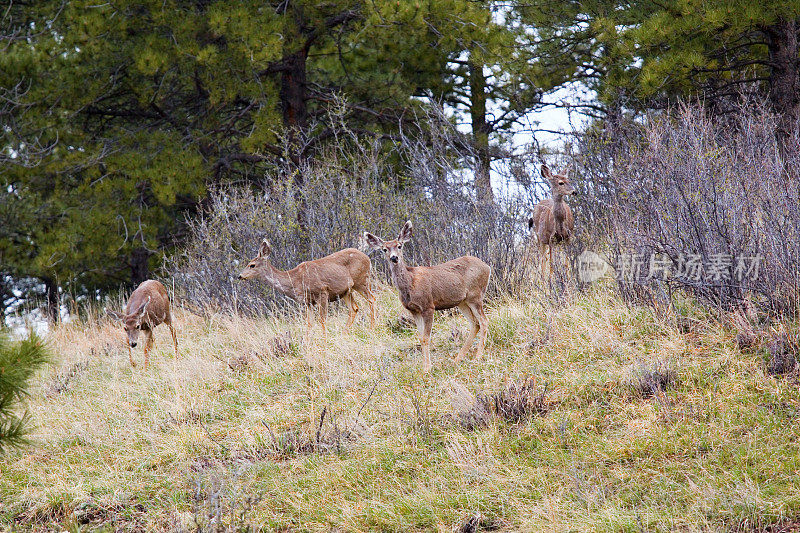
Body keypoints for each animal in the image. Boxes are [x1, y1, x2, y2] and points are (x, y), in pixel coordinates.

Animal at [236, 240, 376, 332]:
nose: (240, 276)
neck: (295, 280)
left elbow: (322, 320)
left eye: (252, 265)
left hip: (361, 280)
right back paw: (344, 332)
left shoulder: (322, 292)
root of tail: (368, 258)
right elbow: (309, 323)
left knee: (372, 299)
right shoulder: (307, 302)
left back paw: (371, 328)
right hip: (346, 291)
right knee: (354, 308)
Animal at [366, 219, 490, 370]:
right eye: (384, 249)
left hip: (475, 295)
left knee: (484, 321)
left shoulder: (428, 306)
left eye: (399, 246)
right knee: (475, 323)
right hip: (462, 301)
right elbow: (420, 338)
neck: (410, 284)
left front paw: (427, 368)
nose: (394, 258)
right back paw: (457, 359)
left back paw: (478, 356)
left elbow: (426, 337)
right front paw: (424, 366)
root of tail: (487, 267)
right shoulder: (414, 310)